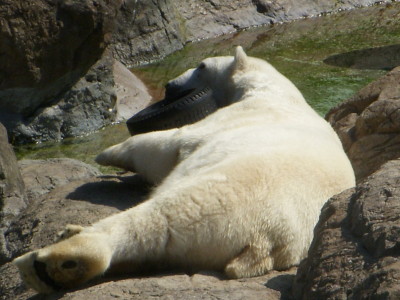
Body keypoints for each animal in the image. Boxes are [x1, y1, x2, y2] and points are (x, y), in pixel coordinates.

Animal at [14, 47, 354, 292]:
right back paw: (71, 238)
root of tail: (272, 241)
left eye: (201, 66)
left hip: (225, 199)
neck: (271, 91)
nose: (170, 85)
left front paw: (108, 152)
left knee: (158, 221)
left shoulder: (221, 122)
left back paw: (57, 260)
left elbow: (165, 145)